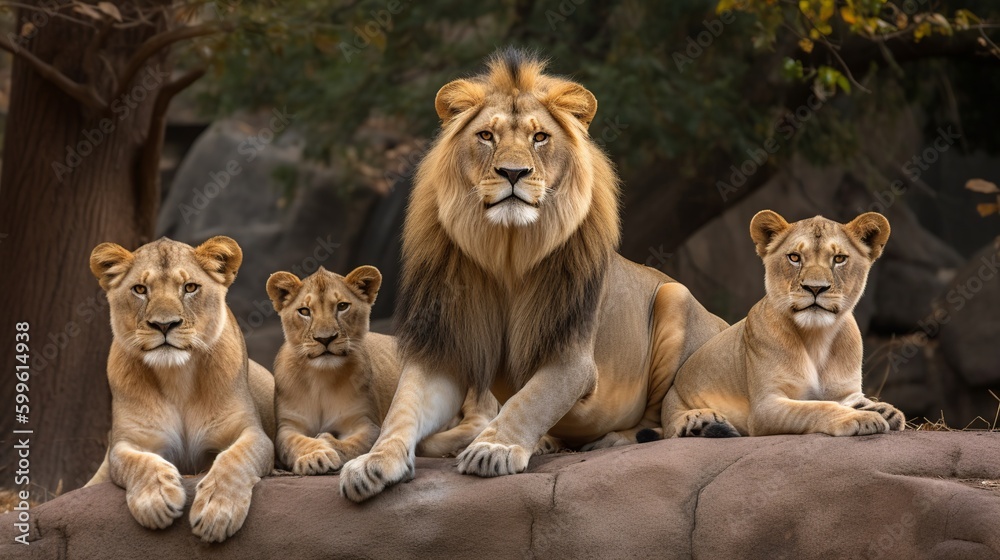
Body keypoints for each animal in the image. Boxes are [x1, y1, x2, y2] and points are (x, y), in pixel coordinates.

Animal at [84, 236, 275, 543]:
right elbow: (138, 462)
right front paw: (157, 499)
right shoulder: (127, 442)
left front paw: (217, 511)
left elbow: (235, 458)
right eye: (140, 289)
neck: (176, 377)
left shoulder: (252, 433)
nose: (164, 324)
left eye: (190, 287)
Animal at [266, 265, 499, 475]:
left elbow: (356, 443)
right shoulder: (287, 425)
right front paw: (315, 456)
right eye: (304, 311)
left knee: (478, 421)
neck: (322, 377)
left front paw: (329, 444)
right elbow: (293, 442)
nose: (325, 338)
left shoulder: (367, 422)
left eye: (342, 306)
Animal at [338, 48, 727, 502]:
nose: (513, 173)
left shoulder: (571, 355)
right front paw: (373, 462)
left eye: (540, 137)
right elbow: (403, 406)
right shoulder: (445, 342)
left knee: (661, 416)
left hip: (674, 294)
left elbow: (532, 399)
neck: (508, 253)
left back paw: (643, 433)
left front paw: (494, 447)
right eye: (486, 136)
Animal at [661, 211, 906, 438]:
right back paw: (703, 422)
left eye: (839, 259)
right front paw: (862, 418)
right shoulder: (765, 407)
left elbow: (854, 400)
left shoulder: (846, 391)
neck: (817, 337)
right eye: (794, 257)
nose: (815, 288)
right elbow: (817, 407)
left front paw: (885, 411)